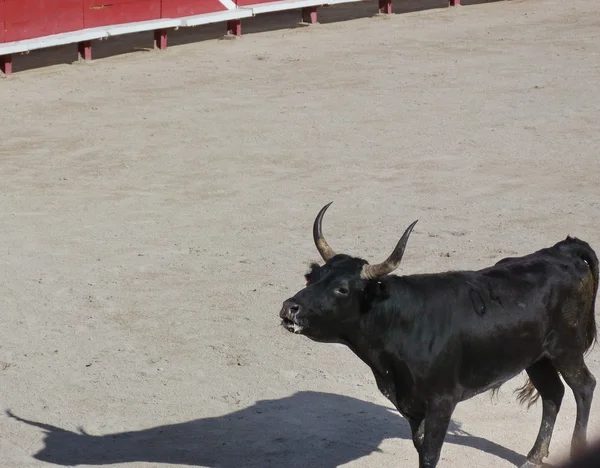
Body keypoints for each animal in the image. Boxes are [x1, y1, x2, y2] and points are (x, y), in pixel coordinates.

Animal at [278, 204, 596, 468]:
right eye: (311, 278)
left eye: (342, 289)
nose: (289, 307)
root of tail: (562, 249)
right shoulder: (411, 405)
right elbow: (420, 447)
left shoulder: (443, 401)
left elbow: (430, 453)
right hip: (536, 356)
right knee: (553, 393)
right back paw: (533, 457)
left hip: (566, 348)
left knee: (584, 387)